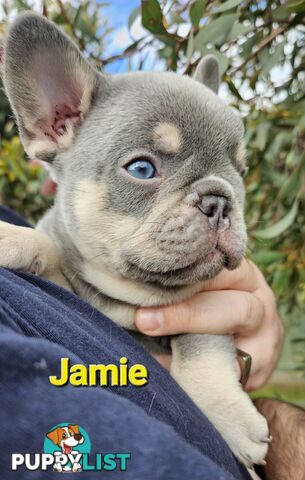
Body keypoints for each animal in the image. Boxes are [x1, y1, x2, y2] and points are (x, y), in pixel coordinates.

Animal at [0, 12, 268, 468]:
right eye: (142, 169)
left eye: (240, 171)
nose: (219, 200)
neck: (132, 294)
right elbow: (47, 246)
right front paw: (9, 236)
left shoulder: (212, 302)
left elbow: (201, 343)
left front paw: (230, 415)